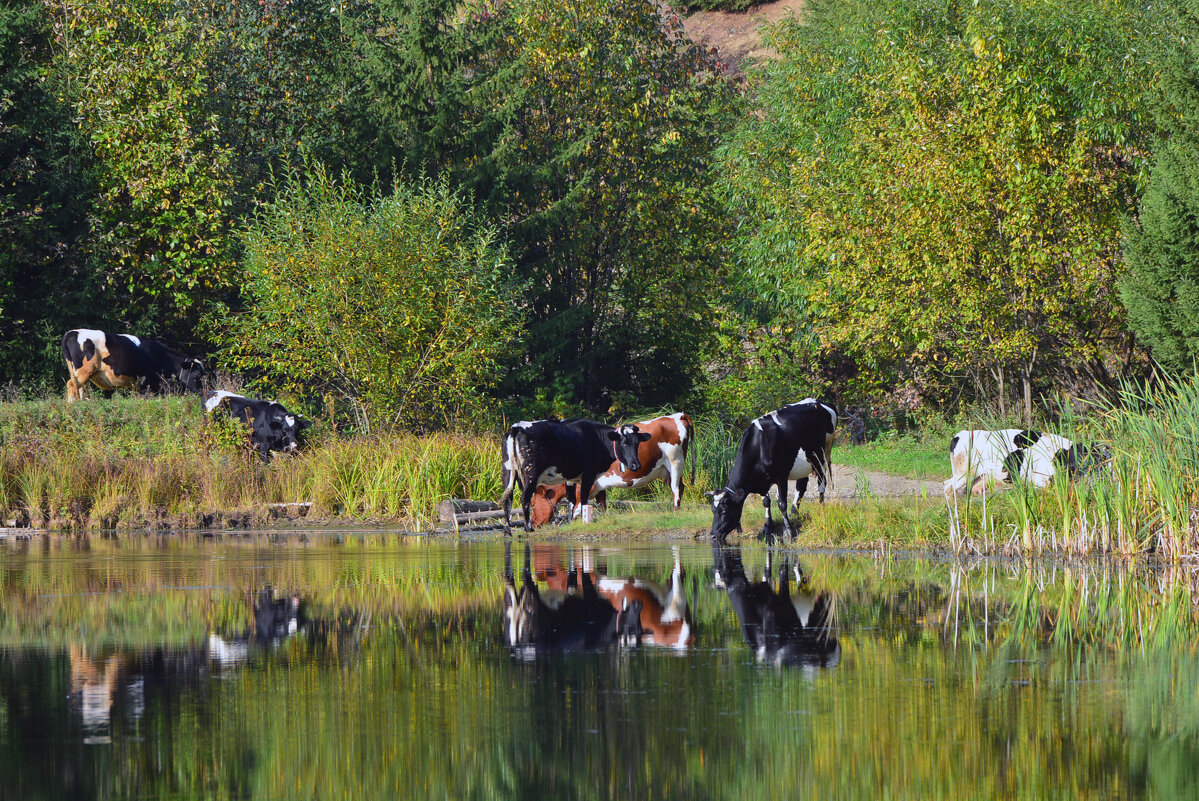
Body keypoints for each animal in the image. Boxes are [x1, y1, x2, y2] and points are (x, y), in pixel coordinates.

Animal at [61, 328, 206, 400]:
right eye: (197, 374)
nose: (204, 391)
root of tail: (71, 332)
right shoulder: (147, 384)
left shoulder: (137, 386)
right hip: (84, 371)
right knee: (72, 385)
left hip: (76, 371)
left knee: (79, 389)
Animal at [498, 419, 657, 532]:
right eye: (623, 443)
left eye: (637, 443)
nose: (636, 465)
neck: (597, 439)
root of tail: (517, 426)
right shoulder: (589, 475)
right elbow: (584, 499)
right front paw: (582, 520)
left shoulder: (570, 478)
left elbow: (571, 500)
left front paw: (569, 522)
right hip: (531, 473)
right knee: (524, 498)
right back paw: (528, 528)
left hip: (507, 471)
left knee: (508, 499)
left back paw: (507, 529)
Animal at [527, 412, 695, 525]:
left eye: (533, 504)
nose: (534, 523)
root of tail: (677, 415)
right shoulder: (599, 487)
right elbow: (602, 506)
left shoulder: (584, 487)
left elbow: (576, 511)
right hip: (667, 469)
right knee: (681, 486)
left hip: (675, 462)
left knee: (676, 489)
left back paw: (675, 511)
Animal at [705, 400, 839, 544]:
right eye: (712, 510)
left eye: (724, 511)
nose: (712, 536)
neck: (760, 446)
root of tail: (820, 402)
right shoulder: (763, 482)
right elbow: (766, 502)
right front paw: (767, 528)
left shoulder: (781, 476)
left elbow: (781, 503)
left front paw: (788, 533)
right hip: (805, 464)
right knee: (801, 485)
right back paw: (794, 513)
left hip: (823, 455)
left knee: (822, 483)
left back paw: (821, 508)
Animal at [940, 429, 1107, 496]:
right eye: (1102, 460)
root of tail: (959, 435)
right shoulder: (1041, 480)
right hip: (964, 472)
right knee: (948, 486)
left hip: (977, 479)